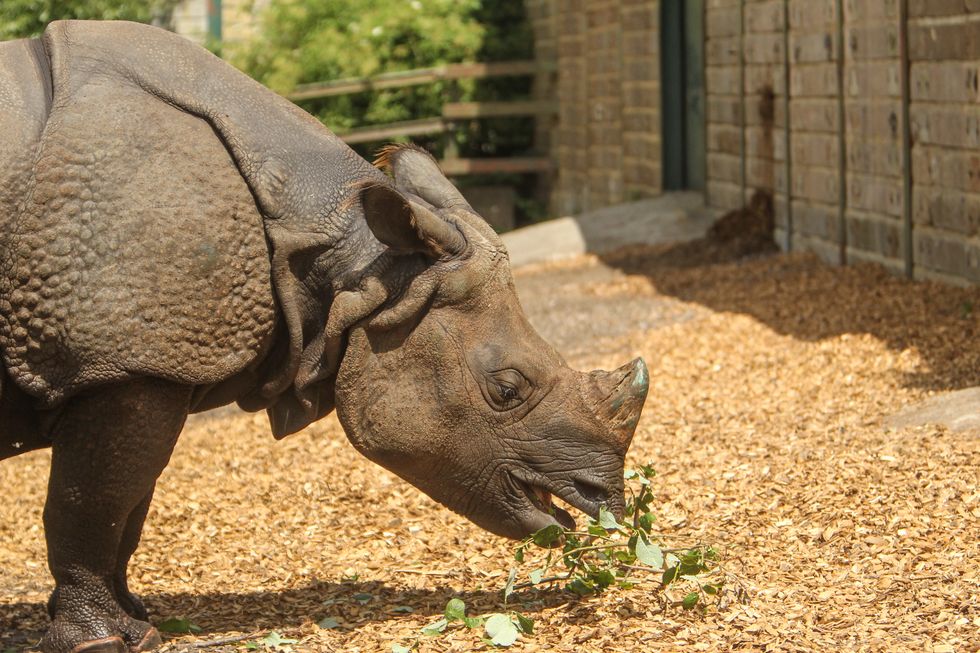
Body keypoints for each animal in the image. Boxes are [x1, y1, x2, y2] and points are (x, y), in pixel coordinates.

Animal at [0, 20, 649, 653]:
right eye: (508, 389)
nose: (604, 502)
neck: (352, 260)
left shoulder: (147, 360)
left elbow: (129, 505)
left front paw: (141, 624)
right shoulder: (125, 363)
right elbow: (90, 504)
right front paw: (100, 640)